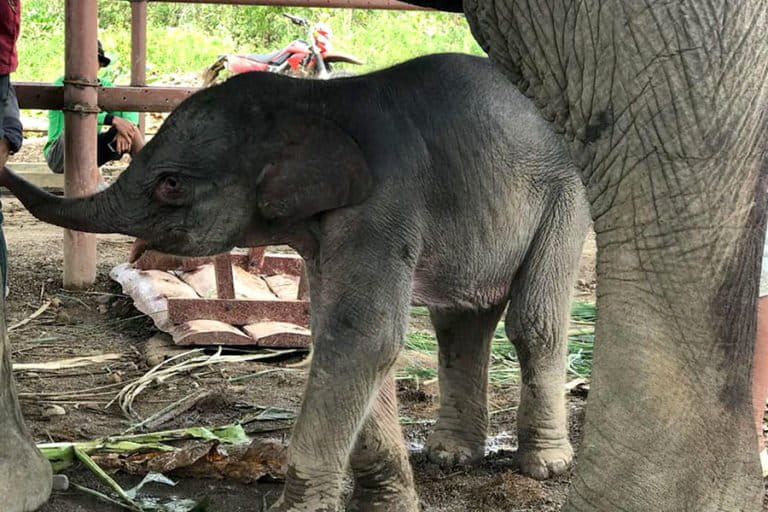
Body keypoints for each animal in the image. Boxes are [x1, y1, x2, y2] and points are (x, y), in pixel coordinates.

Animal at [0, 53, 590, 511]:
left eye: (171, 184)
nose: (6, 159)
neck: (316, 101)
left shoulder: (383, 206)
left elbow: (363, 339)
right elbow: (342, 336)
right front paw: (388, 504)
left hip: (566, 197)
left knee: (533, 322)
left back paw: (545, 467)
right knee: (458, 322)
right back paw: (449, 454)